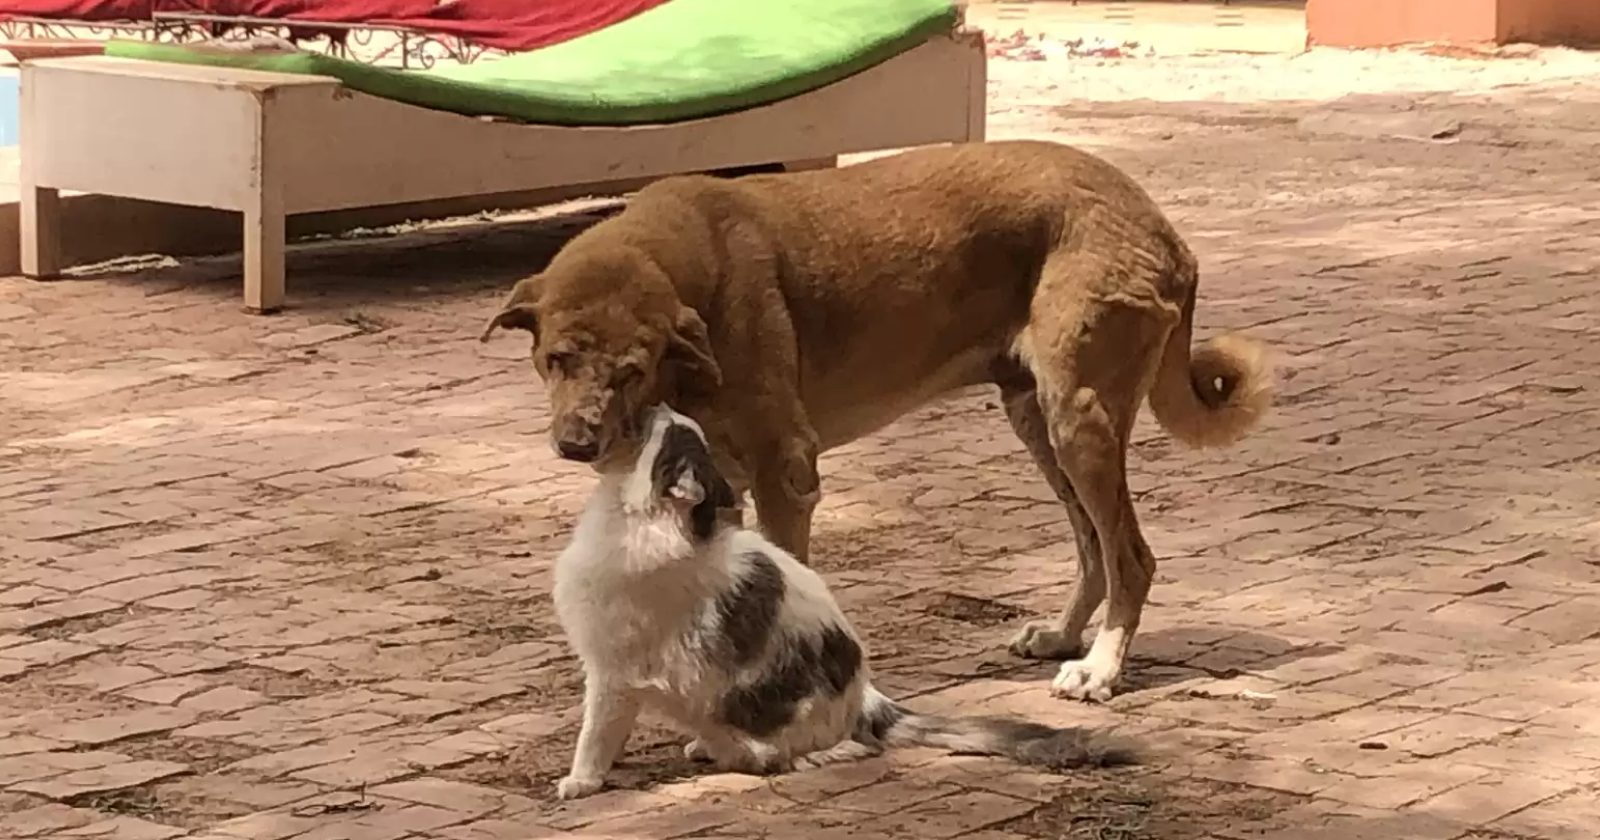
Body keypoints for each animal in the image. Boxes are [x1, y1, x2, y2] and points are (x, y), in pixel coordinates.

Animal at [480, 139, 1267, 700]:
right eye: (556, 359)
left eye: (631, 371)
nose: (576, 443)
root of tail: (1163, 228)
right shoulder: (723, 489)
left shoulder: (785, 474)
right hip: (1038, 422)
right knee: (1093, 549)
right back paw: (1066, 637)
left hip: (1080, 420)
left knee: (1130, 555)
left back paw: (1101, 670)